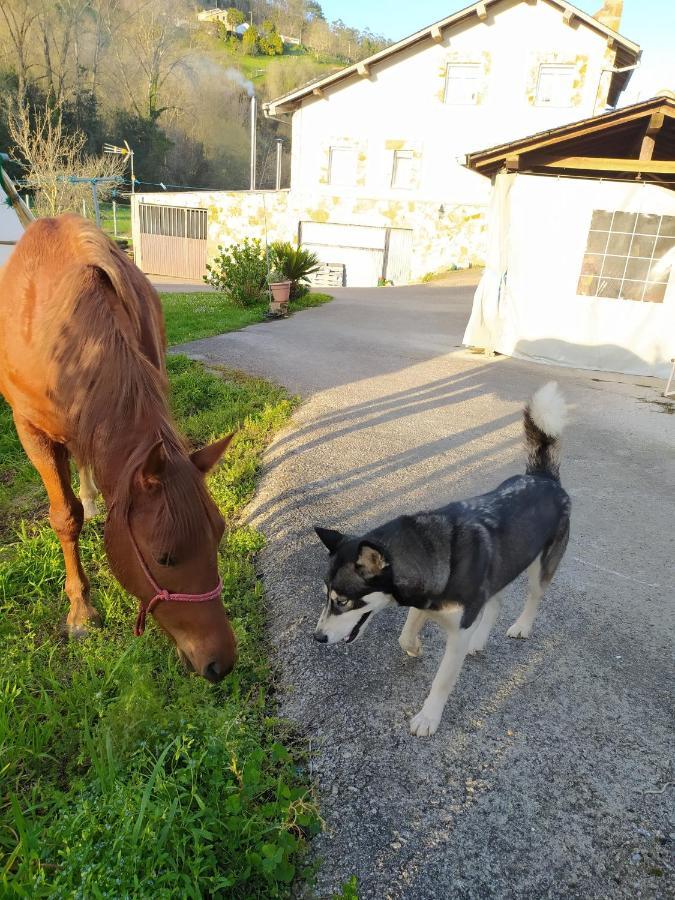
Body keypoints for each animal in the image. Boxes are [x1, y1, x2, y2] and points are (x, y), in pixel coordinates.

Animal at [0, 216, 238, 684]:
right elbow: (65, 517)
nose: (221, 663)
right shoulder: (30, 430)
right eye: (165, 557)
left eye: (219, 535)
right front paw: (81, 611)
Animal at [312, 382, 572, 740]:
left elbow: (442, 681)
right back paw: (481, 638)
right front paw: (415, 648)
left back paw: (522, 626)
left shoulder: (456, 631)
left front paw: (428, 717)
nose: (317, 638)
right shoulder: (424, 601)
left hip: (540, 564)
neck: (434, 554)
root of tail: (544, 478)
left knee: (533, 596)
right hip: (501, 568)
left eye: (342, 601)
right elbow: (405, 635)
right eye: (328, 597)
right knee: (496, 601)